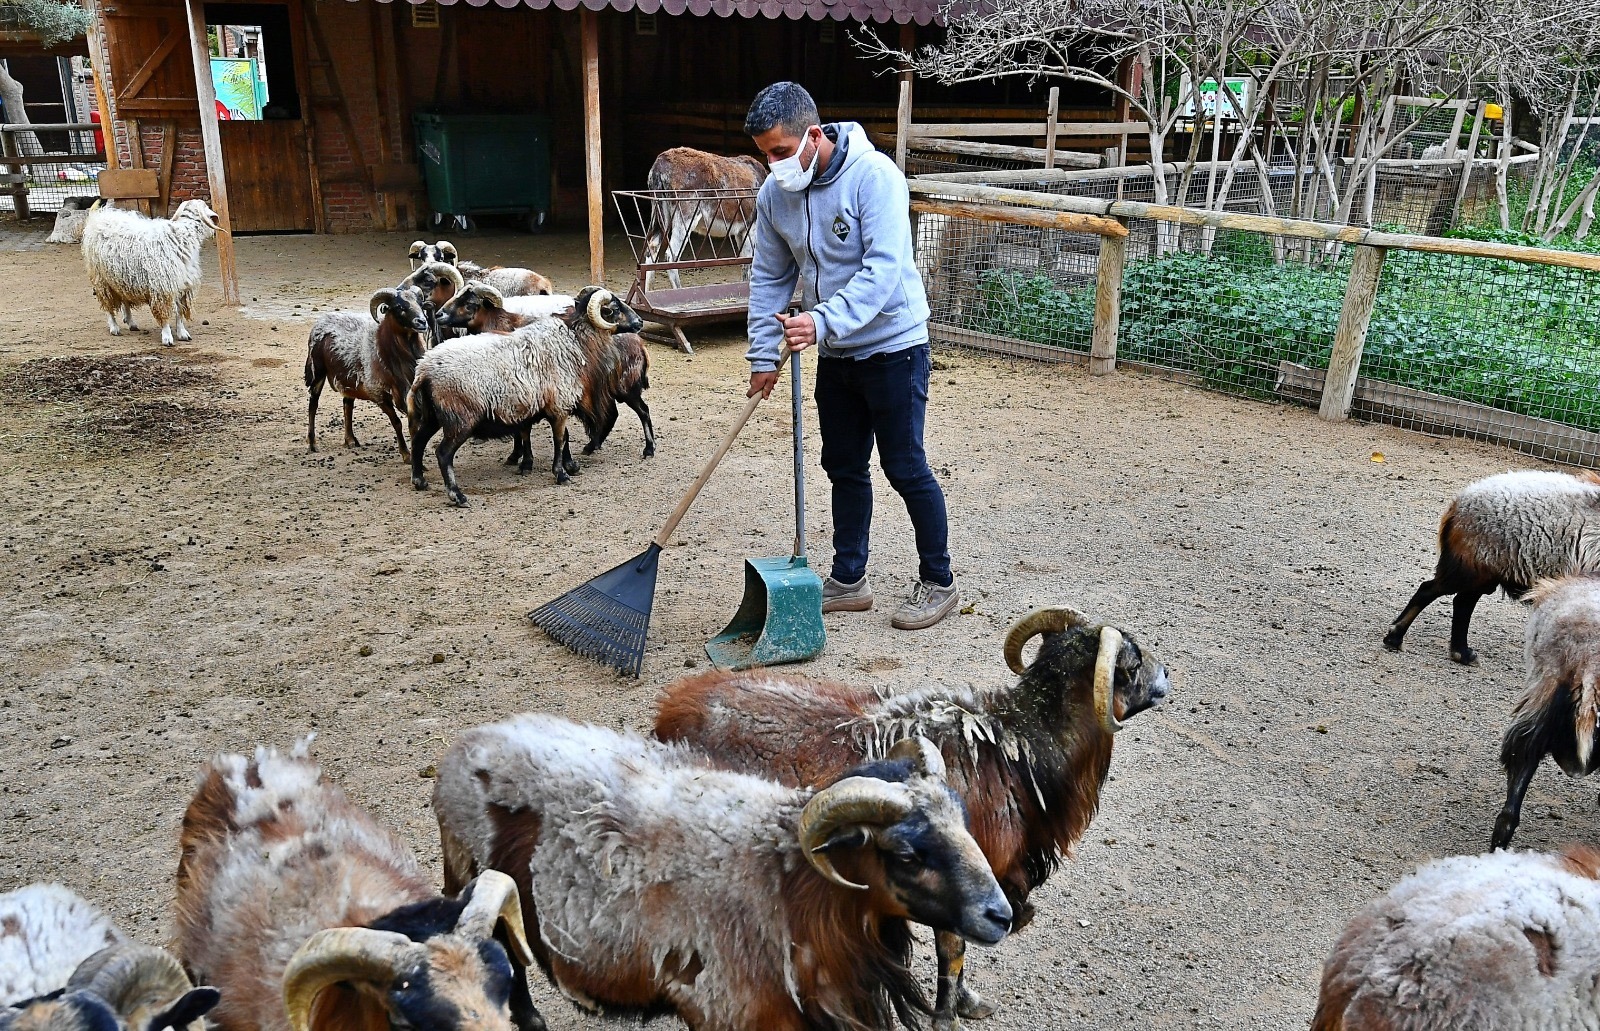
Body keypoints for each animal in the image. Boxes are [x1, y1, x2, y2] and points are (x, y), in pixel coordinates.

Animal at [656, 605, 1171, 1031]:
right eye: (1133, 663)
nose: (1167, 675)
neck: (1017, 750)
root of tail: (669, 711)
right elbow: (953, 952)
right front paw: (949, 1014)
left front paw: (968, 1002)